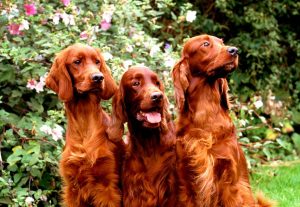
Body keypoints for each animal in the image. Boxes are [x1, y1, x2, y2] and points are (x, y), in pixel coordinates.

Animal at [172, 34, 274, 206]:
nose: (235, 50)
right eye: (206, 44)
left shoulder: (230, 181)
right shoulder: (186, 181)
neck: (205, 114)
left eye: (222, 42)